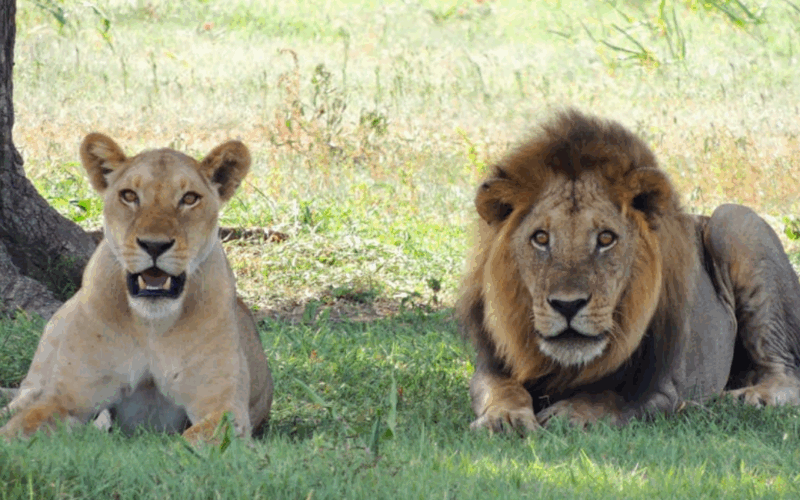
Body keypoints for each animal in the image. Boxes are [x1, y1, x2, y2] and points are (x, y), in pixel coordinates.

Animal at [0, 134, 273, 443]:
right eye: (129, 195)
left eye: (189, 198)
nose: (154, 245)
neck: (151, 325)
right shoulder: (65, 398)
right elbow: (18, 428)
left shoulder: (224, 408)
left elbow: (193, 441)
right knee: (20, 400)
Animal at [457, 109, 800, 432]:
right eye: (541, 238)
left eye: (606, 238)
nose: (568, 305)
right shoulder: (491, 366)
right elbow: (502, 389)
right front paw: (504, 418)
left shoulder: (665, 389)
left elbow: (610, 398)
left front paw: (570, 413)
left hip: (734, 221)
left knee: (787, 373)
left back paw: (750, 396)